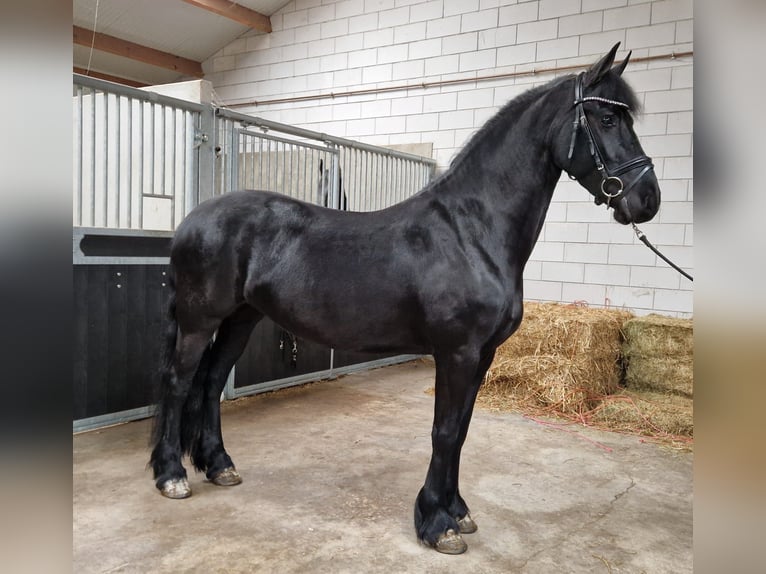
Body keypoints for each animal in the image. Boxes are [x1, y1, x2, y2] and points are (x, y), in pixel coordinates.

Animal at [148, 46, 660, 560]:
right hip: (199, 321)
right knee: (178, 382)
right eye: (607, 118)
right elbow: (445, 431)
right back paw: (172, 476)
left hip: (241, 319)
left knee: (211, 381)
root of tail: (193, 219)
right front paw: (437, 524)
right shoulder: (457, 353)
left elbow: (462, 430)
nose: (648, 200)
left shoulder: (483, 355)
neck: (471, 231)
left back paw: (219, 466)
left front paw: (457, 511)